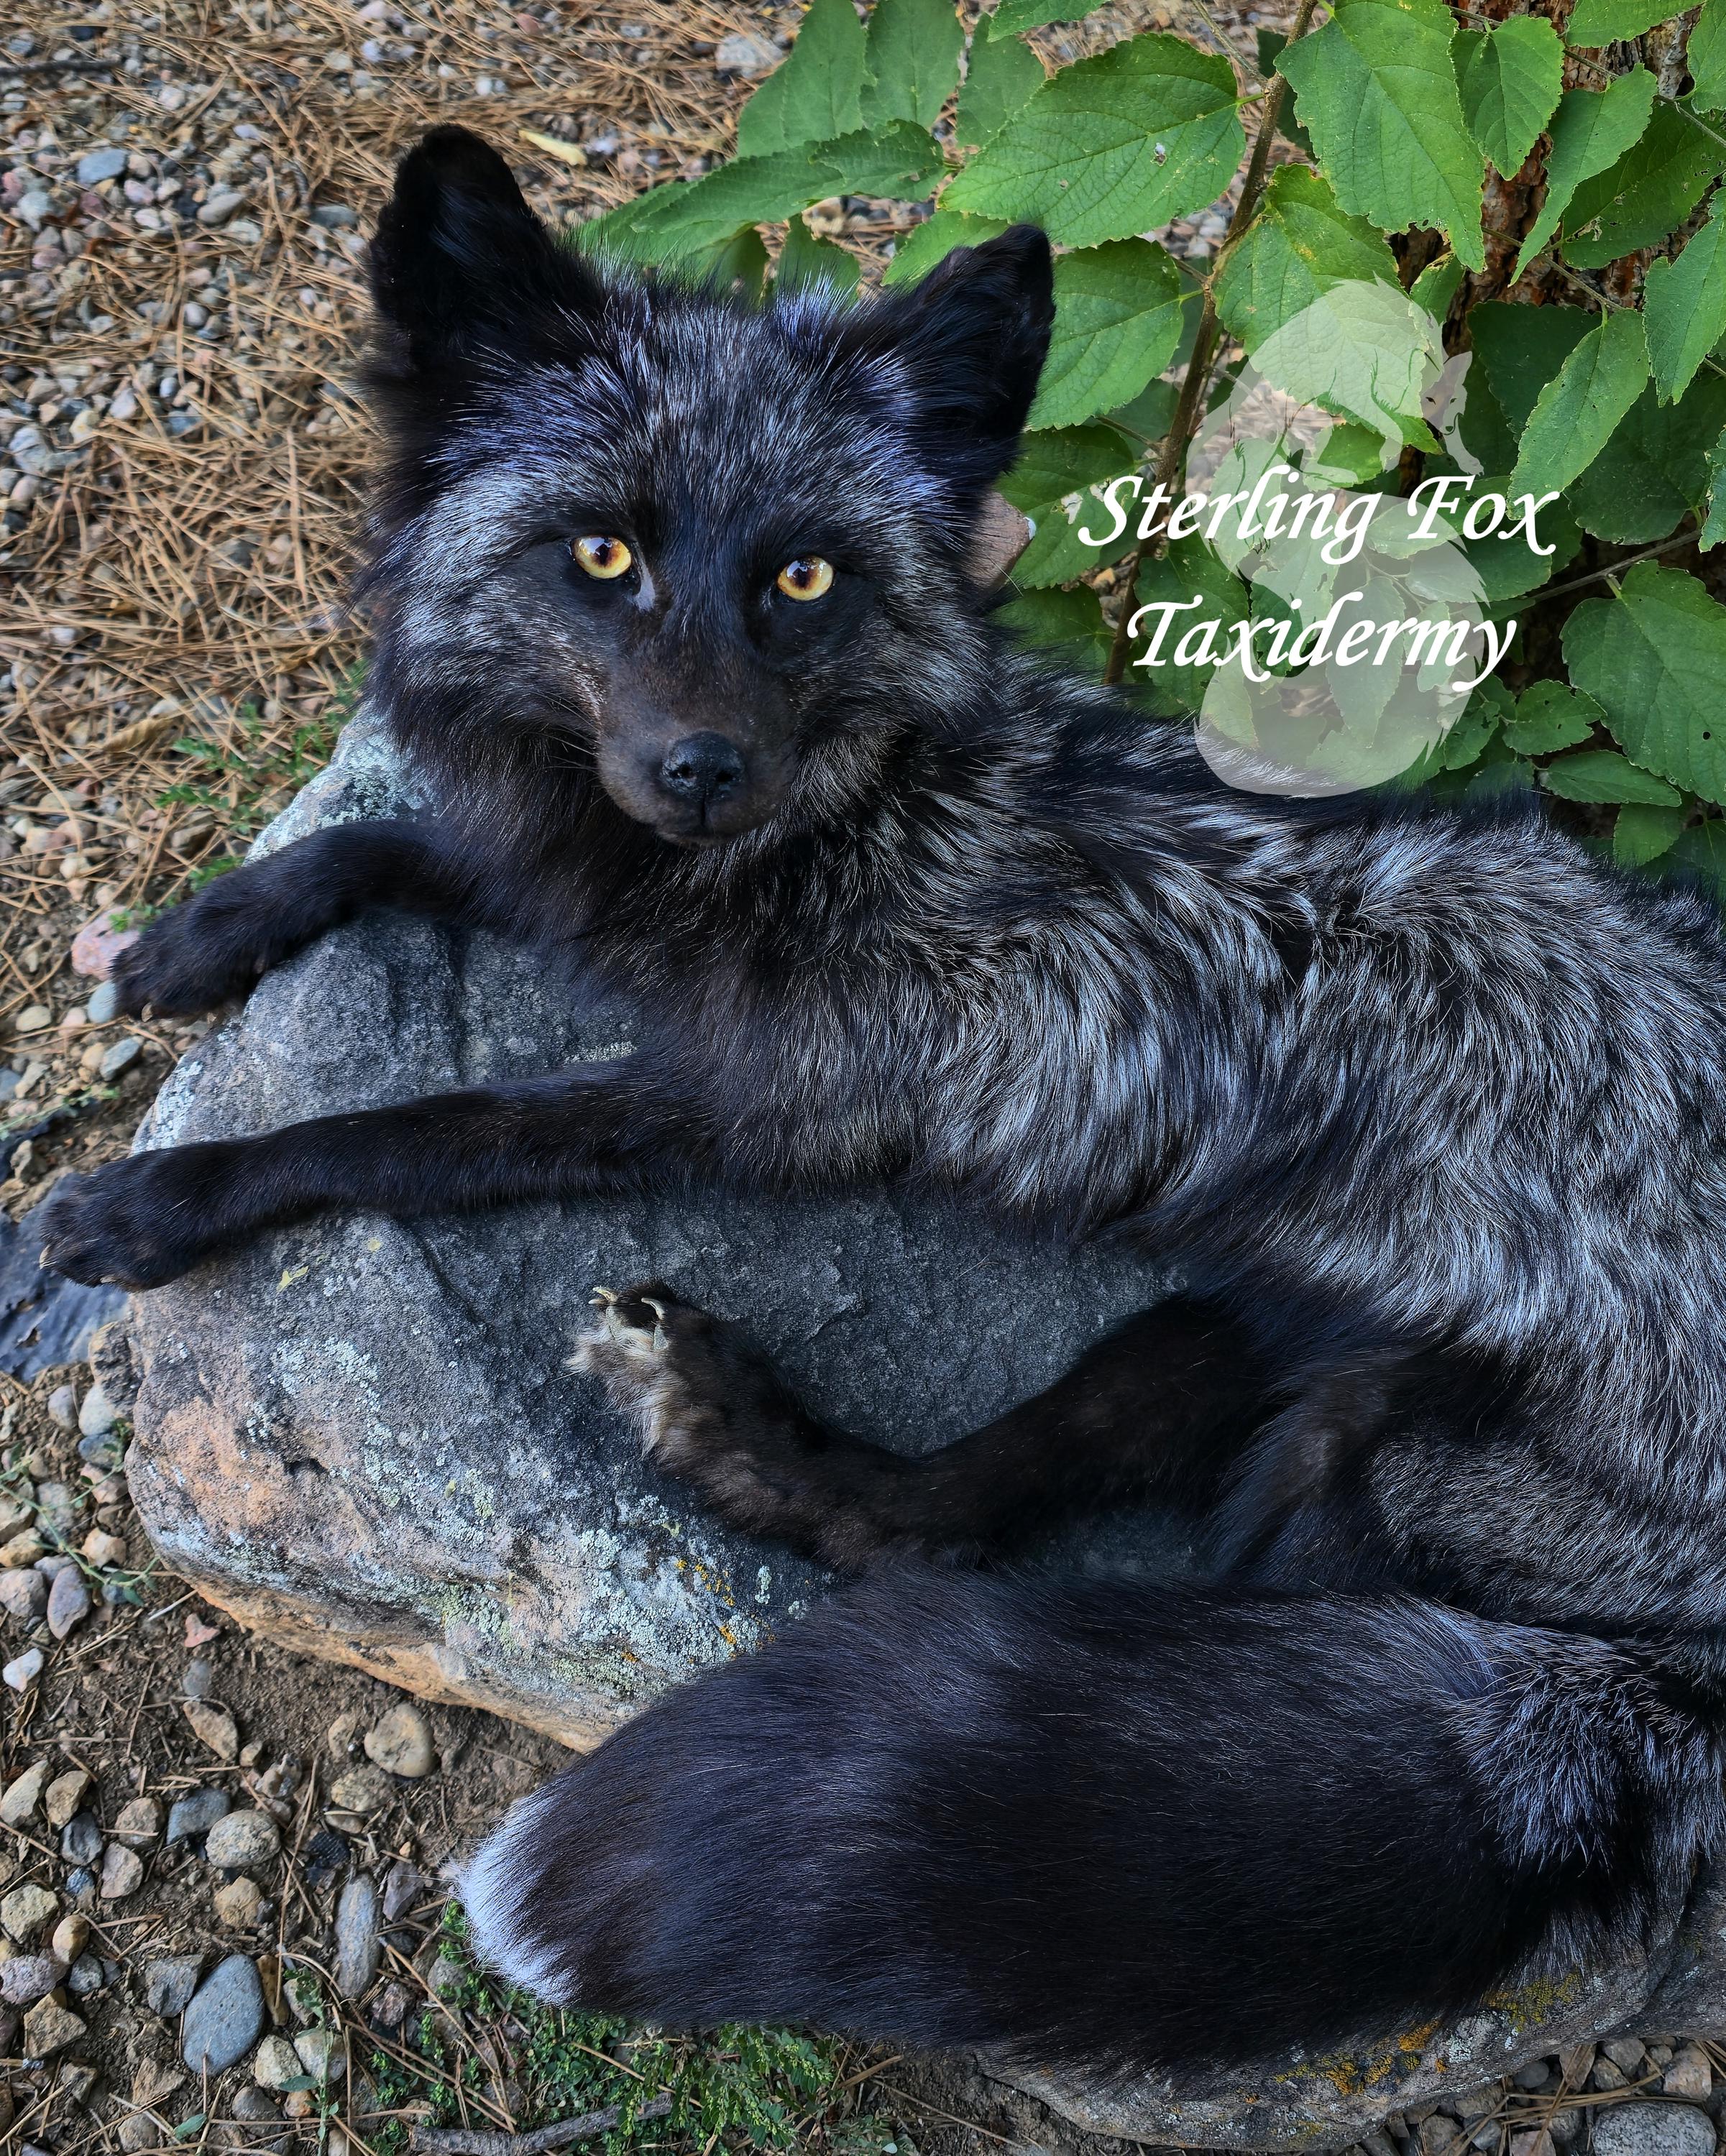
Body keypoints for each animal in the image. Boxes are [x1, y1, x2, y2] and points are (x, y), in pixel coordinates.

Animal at [37, 123, 1726, 2078]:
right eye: (602, 552)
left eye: (805, 578)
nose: (703, 765)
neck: (854, 812)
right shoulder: (603, 890)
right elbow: (388, 842)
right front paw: (198, 935)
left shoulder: (760, 1095)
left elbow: (407, 1129)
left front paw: (160, 1199)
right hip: (1232, 1328)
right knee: (934, 1514)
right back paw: (726, 1431)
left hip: (1357, 1461)